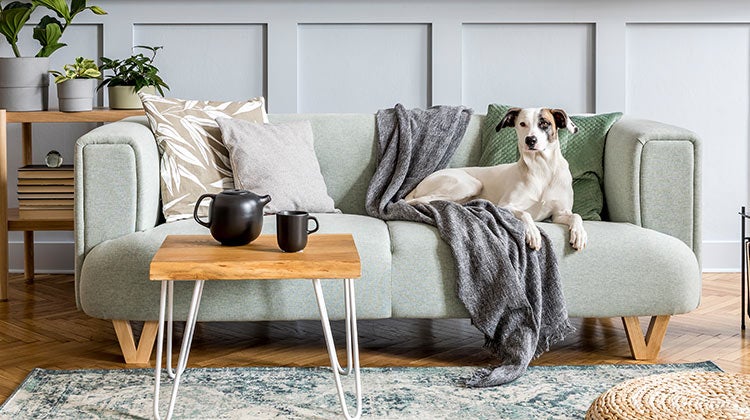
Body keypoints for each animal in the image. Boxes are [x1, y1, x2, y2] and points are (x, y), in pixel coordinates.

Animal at [406, 107, 588, 249]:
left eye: (544, 124)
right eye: (522, 124)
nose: (530, 140)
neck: (541, 170)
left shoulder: (558, 214)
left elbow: (576, 216)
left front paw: (579, 234)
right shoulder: (505, 206)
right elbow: (525, 214)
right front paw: (533, 233)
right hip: (470, 184)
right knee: (418, 201)